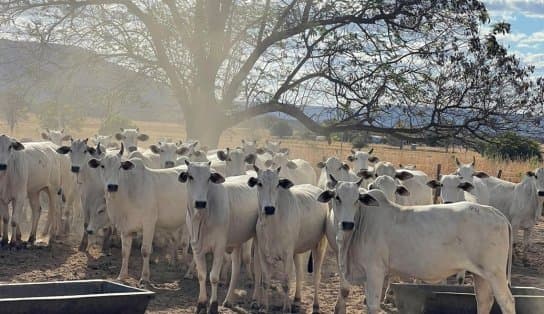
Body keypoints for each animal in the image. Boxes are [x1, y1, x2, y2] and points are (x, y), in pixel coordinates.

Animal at [86, 144, 186, 288]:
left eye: (120, 166)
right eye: (102, 165)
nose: (112, 186)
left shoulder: (149, 224)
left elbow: (145, 251)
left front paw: (144, 278)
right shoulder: (125, 228)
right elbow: (124, 252)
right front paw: (121, 276)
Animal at [176, 162, 258, 314]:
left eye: (209, 177)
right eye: (190, 176)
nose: (200, 203)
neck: (203, 217)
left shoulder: (219, 247)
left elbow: (213, 277)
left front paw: (213, 306)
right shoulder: (196, 247)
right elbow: (202, 275)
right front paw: (201, 304)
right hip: (237, 241)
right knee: (236, 268)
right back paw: (228, 300)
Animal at [316, 184, 512, 314]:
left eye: (357, 199)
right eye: (337, 197)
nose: (347, 224)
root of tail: (497, 213)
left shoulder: (375, 271)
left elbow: (372, 305)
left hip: (495, 273)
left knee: (507, 302)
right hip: (481, 274)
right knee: (484, 301)